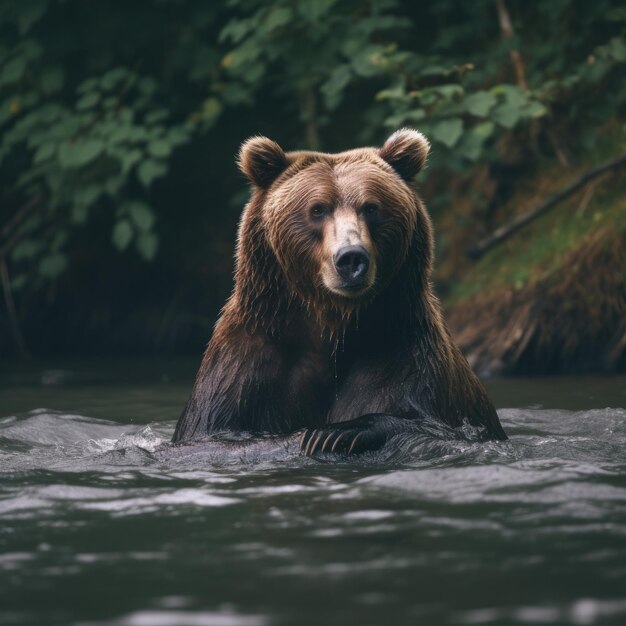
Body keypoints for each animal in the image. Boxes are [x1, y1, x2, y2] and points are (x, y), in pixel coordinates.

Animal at [172, 130, 508, 454]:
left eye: (371, 207)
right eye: (317, 209)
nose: (351, 258)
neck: (332, 322)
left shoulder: (404, 350)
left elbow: (430, 425)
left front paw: (335, 432)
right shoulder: (249, 362)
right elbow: (216, 436)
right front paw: (317, 435)